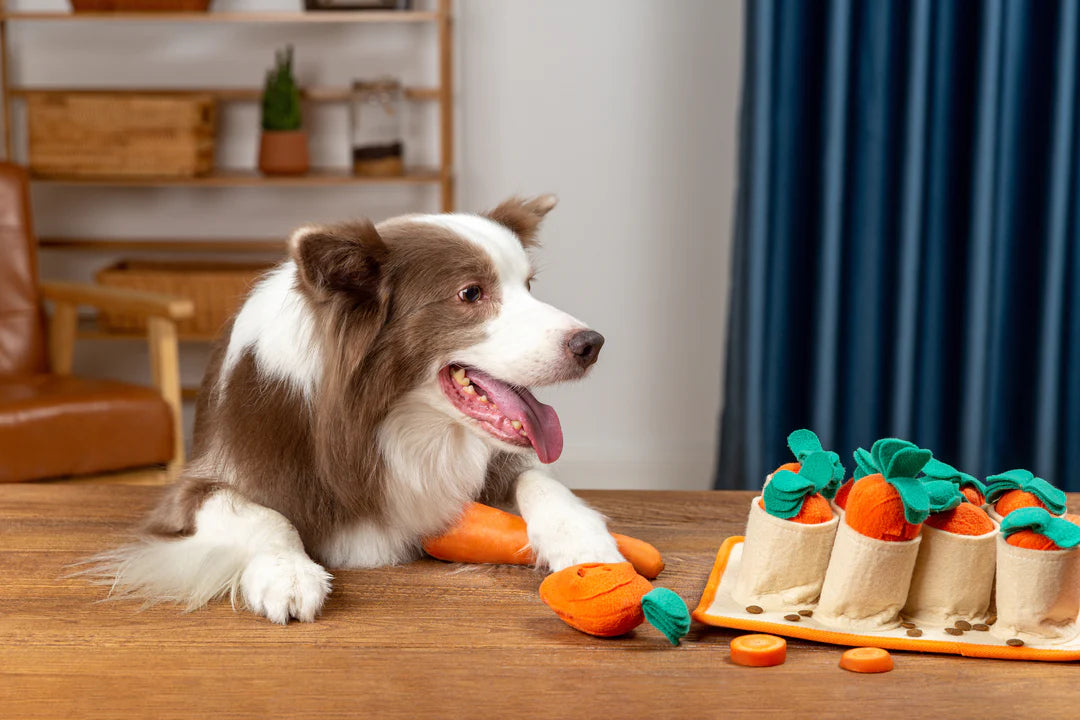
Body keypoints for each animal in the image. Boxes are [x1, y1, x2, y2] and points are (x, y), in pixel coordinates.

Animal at [97, 194, 630, 621]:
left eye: (530, 287)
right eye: (471, 293)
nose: (592, 343)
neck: (387, 422)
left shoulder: (499, 459)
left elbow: (540, 480)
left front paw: (585, 542)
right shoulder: (194, 488)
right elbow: (263, 515)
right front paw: (288, 573)